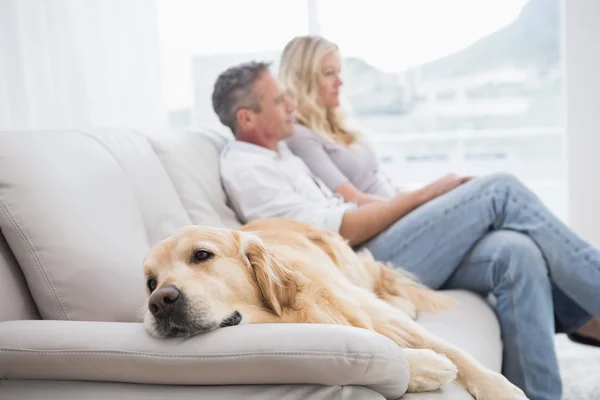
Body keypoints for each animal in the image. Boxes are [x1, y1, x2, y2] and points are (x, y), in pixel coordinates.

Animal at [143, 219, 528, 400]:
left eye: (201, 255)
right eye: (150, 281)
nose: (159, 302)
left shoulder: (368, 310)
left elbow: (455, 352)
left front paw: (501, 388)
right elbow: (393, 354)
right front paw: (428, 366)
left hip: (351, 268)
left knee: (381, 282)